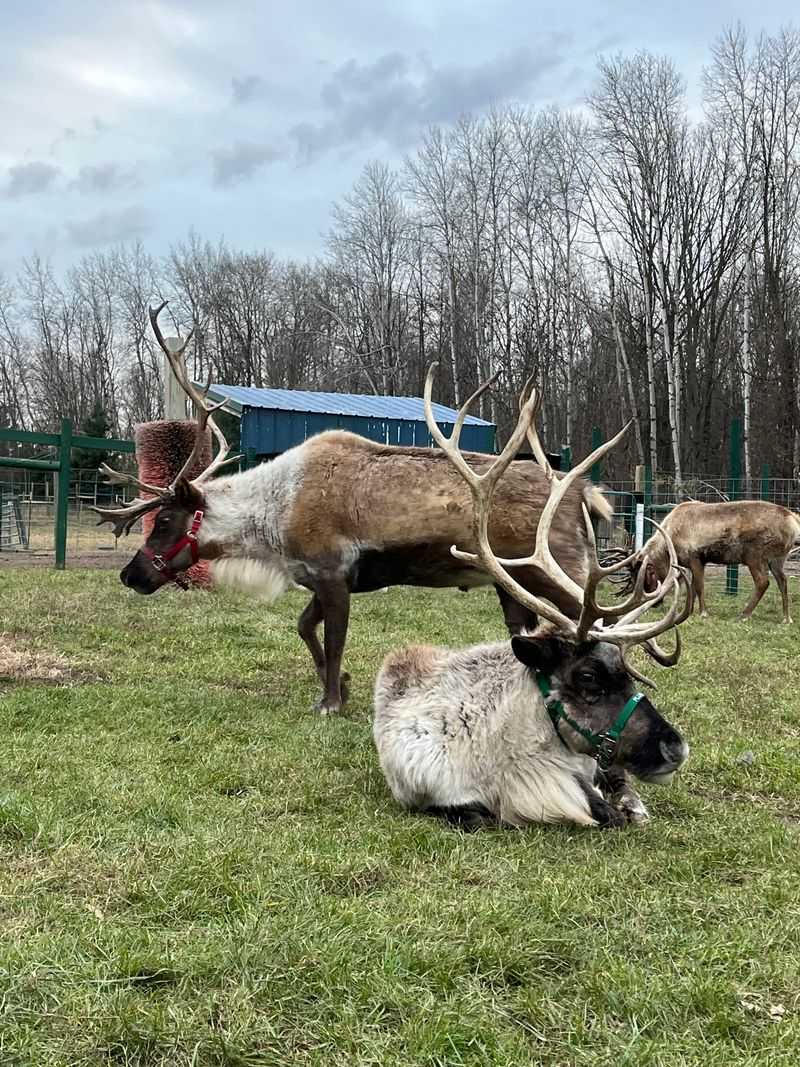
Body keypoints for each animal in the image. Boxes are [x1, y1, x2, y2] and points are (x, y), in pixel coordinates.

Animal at [95, 303, 674, 715]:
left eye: (164, 520)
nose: (130, 574)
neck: (273, 518)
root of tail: (584, 495)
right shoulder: (324, 578)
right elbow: (304, 628)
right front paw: (344, 687)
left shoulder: (333, 573)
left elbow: (331, 641)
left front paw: (330, 700)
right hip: (516, 585)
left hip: (562, 568)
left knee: (612, 624)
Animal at [373, 381, 692, 830]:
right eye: (588, 677)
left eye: (627, 672)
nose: (675, 747)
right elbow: (479, 815)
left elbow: (611, 802)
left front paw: (626, 807)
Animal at [630, 500, 800, 623]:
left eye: (648, 574)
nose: (655, 604)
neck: (668, 545)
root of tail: (793, 520)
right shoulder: (694, 563)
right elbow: (692, 587)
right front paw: (689, 610)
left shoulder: (696, 558)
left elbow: (699, 586)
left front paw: (703, 613)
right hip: (777, 559)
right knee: (783, 581)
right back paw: (787, 618)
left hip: (754, 556)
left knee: (763, 582)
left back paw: (744, 615)